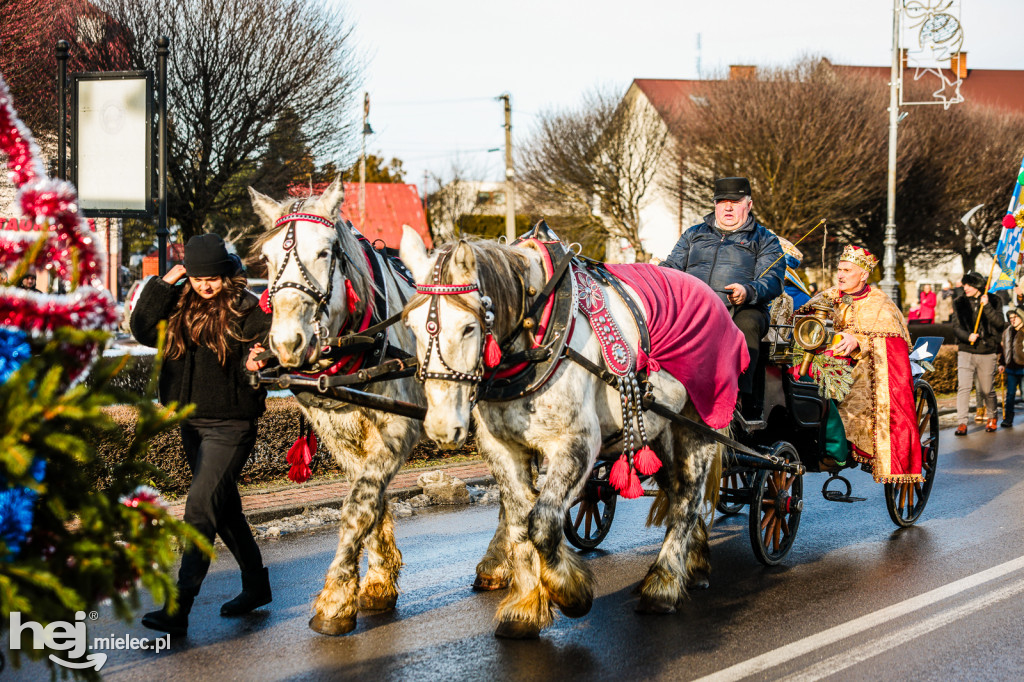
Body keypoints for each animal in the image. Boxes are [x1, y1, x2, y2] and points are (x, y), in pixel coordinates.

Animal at [248, 179, 423, 630]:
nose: (288, 343)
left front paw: (335, 599)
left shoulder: (397, 430)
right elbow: (371, 499)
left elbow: (359, 506)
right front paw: (378, 582)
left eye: (324, 252)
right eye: (267, 258)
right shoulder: (339, 435)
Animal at [399, 228, 729, 638]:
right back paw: (693, 565)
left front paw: (569, 592)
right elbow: (519, 526)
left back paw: (663, 585)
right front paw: (524, 608)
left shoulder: (575, 444)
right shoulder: (503, 449)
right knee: (676, 488)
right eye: (412, 327)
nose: (443, 428)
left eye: (468, 327)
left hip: (695, 427)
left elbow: (542, 523)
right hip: (657, 433)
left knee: (687, 497)